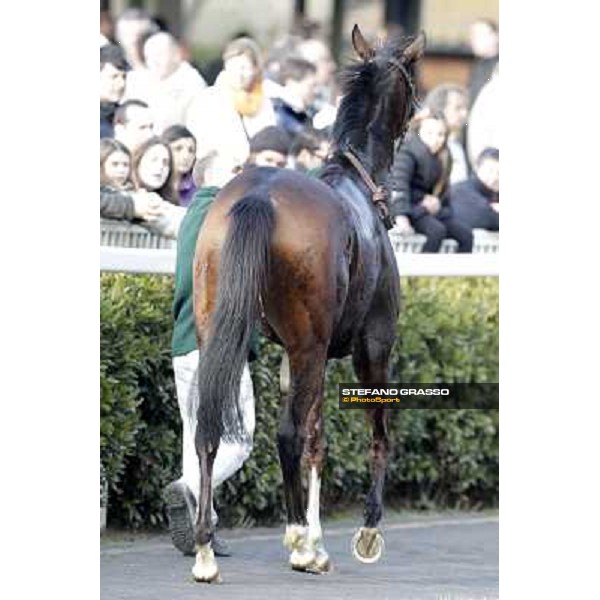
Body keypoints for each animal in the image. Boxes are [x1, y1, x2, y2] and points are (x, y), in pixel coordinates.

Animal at [190, 24, 424, 580]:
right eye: (412, 83)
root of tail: (260, 197)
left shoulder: (293, 356)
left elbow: (318, 437)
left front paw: (316, 539)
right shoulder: (370, 347)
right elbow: (368, 432)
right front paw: (360, 532)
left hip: (225, 334)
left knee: (209, 428)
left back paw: (206, 549)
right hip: (313, 346)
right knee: (289, 433)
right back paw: (298, 539)